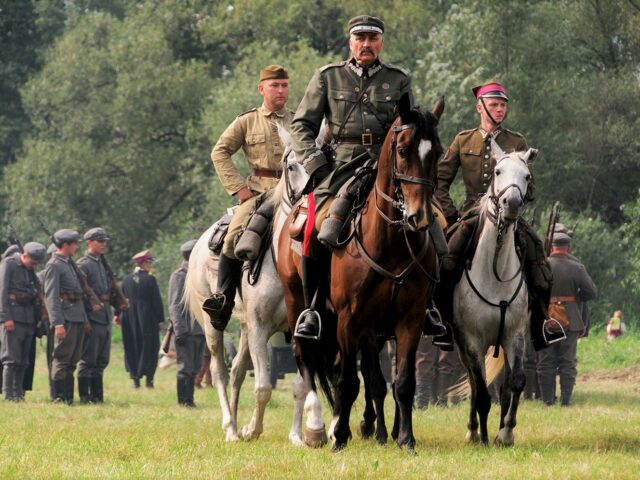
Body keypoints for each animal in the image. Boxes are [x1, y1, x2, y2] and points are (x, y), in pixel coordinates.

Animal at [184, 126, 324, 442]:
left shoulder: (296, 331)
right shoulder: (260, 327)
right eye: (291, 165)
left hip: (246, 328)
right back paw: (231, 429)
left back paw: (236, 424)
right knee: (220, 372)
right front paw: (253, 429)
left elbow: (300, 385)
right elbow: (263, 387)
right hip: (214, 325)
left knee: (237, 371)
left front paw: (297, 436)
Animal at [276, 95, 444, 452]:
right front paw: (339, 435)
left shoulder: (408, 319)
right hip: (300, 305)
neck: (391, 242)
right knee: (309, 363)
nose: (419, 217)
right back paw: (317, 427)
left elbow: (402, 381)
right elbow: (349, 381)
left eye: (436, 151)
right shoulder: (349, 320)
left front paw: (405, 439)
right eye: (403, 150)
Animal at [452, 141, 536, 448]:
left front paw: (506, 432)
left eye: (526, 175)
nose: (511, 203)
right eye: (497, 171)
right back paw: (474, 431)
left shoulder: (515, 334)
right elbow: (480, 391)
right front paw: (483, 436)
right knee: (474, 384)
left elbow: (517, 382)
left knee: (506, 385)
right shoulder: (472, 341)